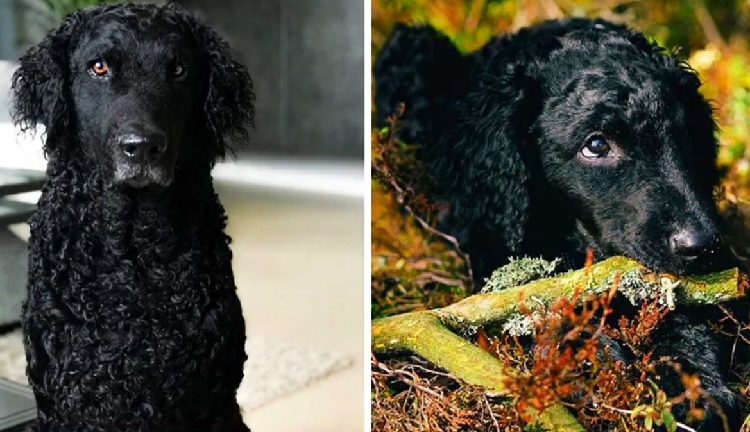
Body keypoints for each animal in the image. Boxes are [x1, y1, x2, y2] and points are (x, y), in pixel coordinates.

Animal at [378, 17, 748, 432]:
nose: (703, 245)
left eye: (686, 136)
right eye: (597, 145)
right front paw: (594, 362)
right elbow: (549, 305)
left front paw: (696, 391)